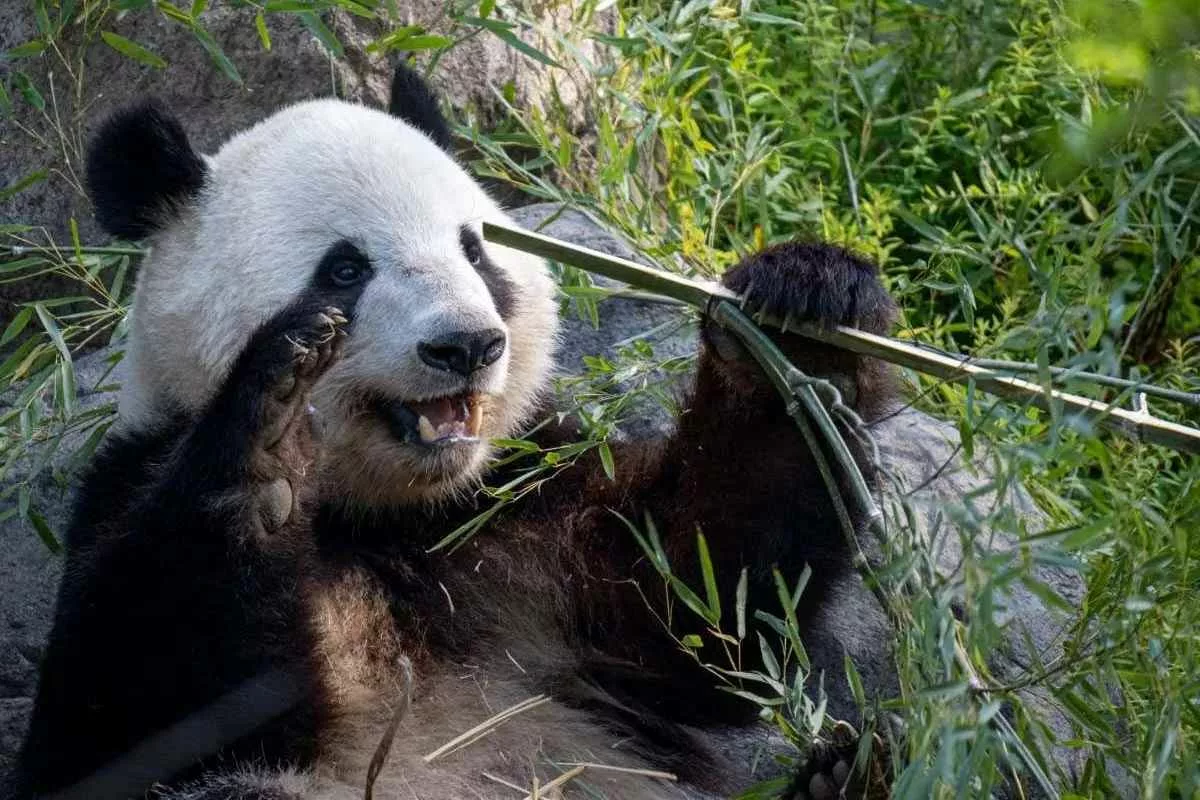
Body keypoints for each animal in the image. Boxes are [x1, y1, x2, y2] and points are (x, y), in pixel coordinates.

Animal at [13, 64, 898, 800]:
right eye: (344, 268)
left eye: (475, 251)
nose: (466, 346)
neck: (383, 518)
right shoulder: (128, 482)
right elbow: (124, 720)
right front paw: (266, 440)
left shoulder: (520, 512)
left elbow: (704, 611)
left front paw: (798, 329)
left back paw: (840, 779)